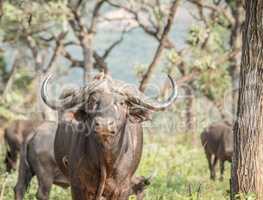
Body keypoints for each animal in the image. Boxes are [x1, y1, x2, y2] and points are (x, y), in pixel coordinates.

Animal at [41, 73, 177, 200]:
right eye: (92, 101)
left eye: (122, 103)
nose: (104, 125)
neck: (105, 160)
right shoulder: (78, 186)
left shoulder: (123, 189)